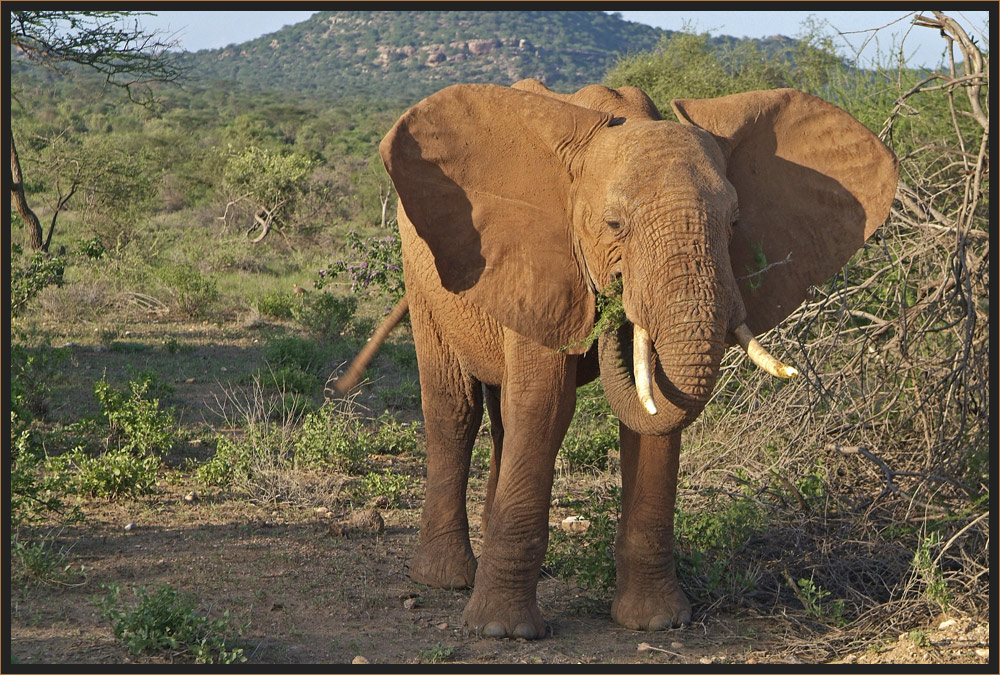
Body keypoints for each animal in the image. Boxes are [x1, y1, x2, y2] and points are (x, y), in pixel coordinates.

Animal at [336, 80, 900, 640]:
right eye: (613, 224)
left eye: (735, 222)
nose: (613, 303)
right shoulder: (543, 265)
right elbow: (545, 408)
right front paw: (502, 631)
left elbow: (654, 416)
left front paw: (656, 622)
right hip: (423, 275)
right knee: (456, 409)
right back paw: (445, 579)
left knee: (501, 419)